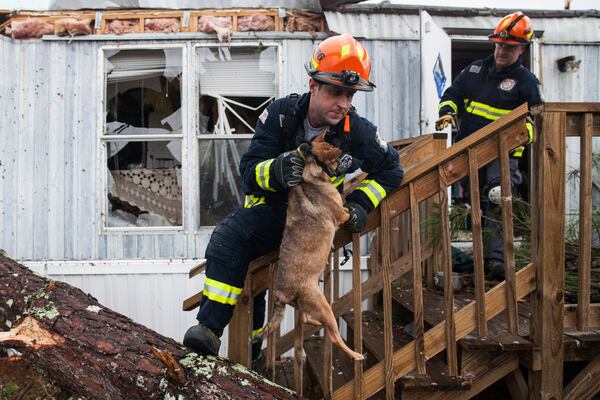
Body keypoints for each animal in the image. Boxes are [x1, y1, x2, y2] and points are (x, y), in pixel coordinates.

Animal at [260, 134, 364, 362]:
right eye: (336, 152)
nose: (352, 157)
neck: (308, 179)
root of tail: (281, 294)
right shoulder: (341, 214)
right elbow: (345, 206)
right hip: (320, 304)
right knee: (334, 337)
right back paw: (354, 355)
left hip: (312, 302)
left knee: (307, 319)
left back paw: (317, 323)